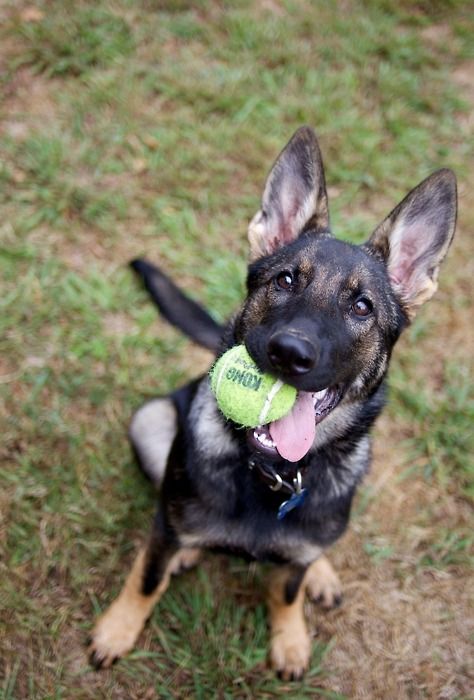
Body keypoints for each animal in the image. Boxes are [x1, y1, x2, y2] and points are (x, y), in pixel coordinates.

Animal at [87, 126, 458, 680]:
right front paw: (118, 629)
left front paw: (290, 640)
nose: (290, 353)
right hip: (150, 423)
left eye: (361, 306)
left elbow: (287, 592)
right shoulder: (167, 528)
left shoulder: (295, 554)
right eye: (284, 280)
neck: (273, 475)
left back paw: (319, 570)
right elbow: (147, 578)